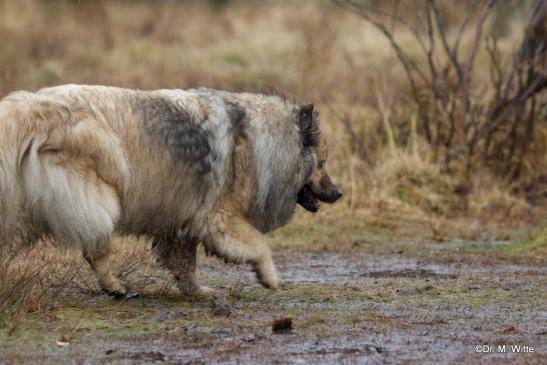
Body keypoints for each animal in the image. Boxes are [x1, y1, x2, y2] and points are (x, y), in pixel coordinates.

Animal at [0, 86, 342, 298]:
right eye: (322, 163)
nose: (338, 193)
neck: (260, 140)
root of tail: (30, 110)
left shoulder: (185, 221)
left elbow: (185, 263)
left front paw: (197, 292)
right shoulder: (221, 218)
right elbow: (260, 246)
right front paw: (269, 277)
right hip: (99, 199)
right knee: (97, 249)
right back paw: (115, 286)